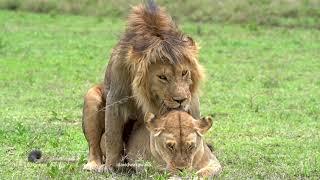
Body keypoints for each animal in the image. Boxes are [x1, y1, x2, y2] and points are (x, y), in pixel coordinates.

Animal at [82, 0, 202, 170]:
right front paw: (110, 167)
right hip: (91, 96)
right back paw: (94, 165)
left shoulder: (192, 100)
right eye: (162, 77)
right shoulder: (116, 97)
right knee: (94, 145)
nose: (181, 100)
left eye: (184, 72)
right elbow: (113, 137)